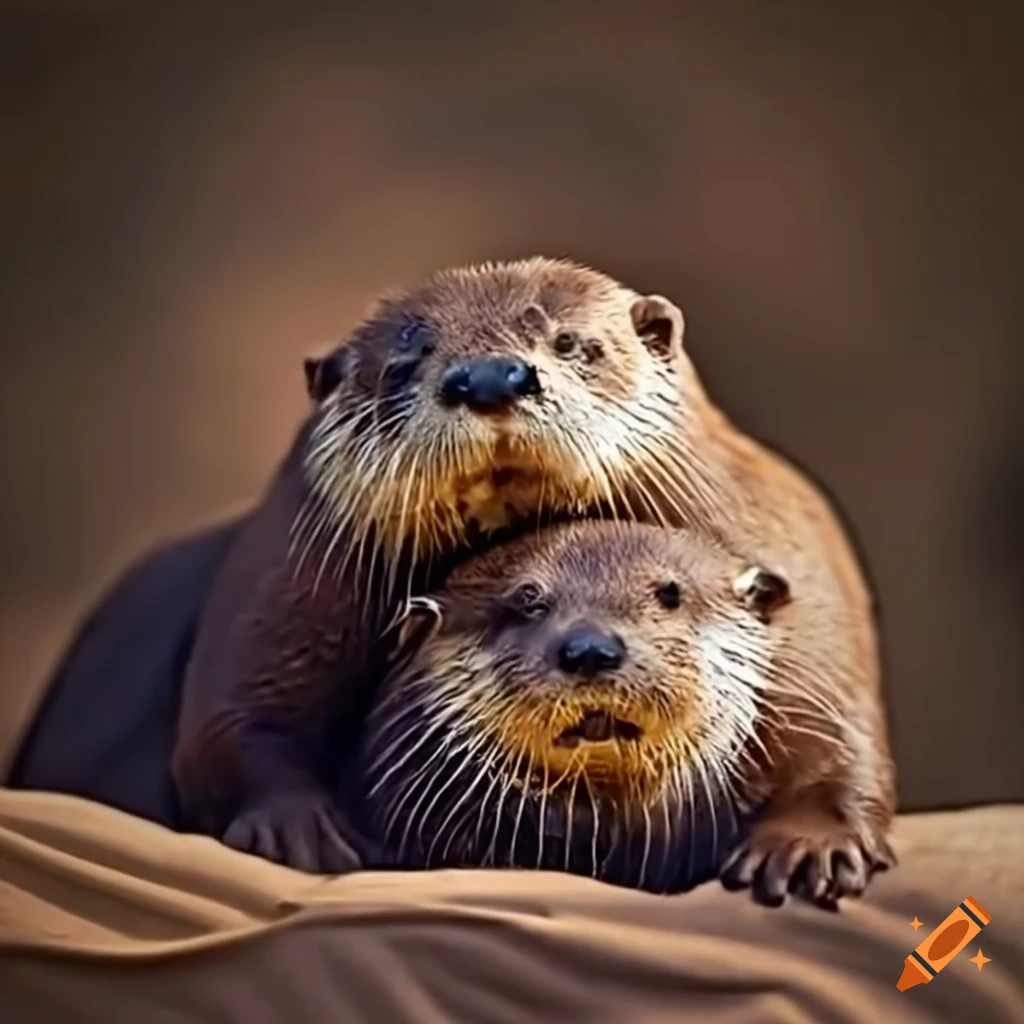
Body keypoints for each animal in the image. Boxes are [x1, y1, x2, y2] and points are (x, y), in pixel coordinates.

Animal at [358, 521, 895, 908]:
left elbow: (832, 754)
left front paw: (805, 846)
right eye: (527, 602)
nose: (591, 648)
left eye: (670, 593)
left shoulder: (800, 700)